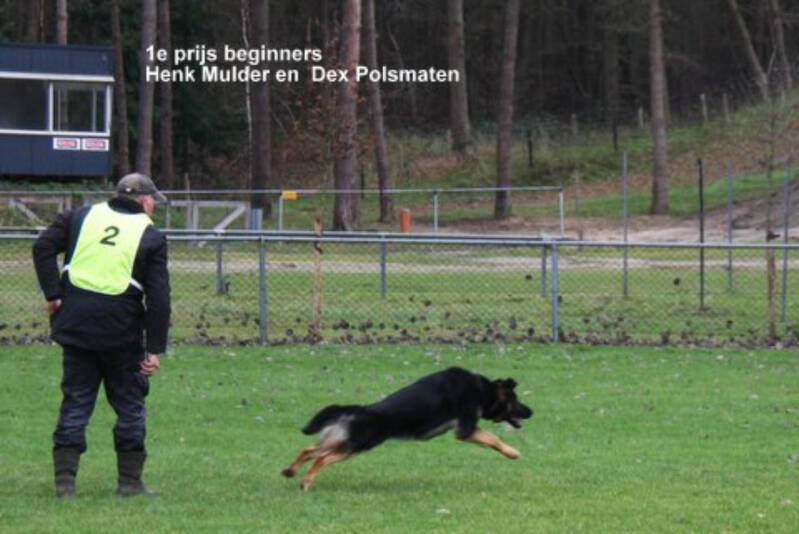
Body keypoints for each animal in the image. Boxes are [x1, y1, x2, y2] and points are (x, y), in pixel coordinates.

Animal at [281, 366, 533, 490]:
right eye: (516, 400)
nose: (532, 411)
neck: (483, 389)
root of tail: (361, 409)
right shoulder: (466, 429)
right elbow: (494, 440)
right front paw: (513, 453)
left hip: (342, 440)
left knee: (308, 450)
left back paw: (290, 471)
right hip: (356, 445)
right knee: (320, 458)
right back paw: (305, 482)